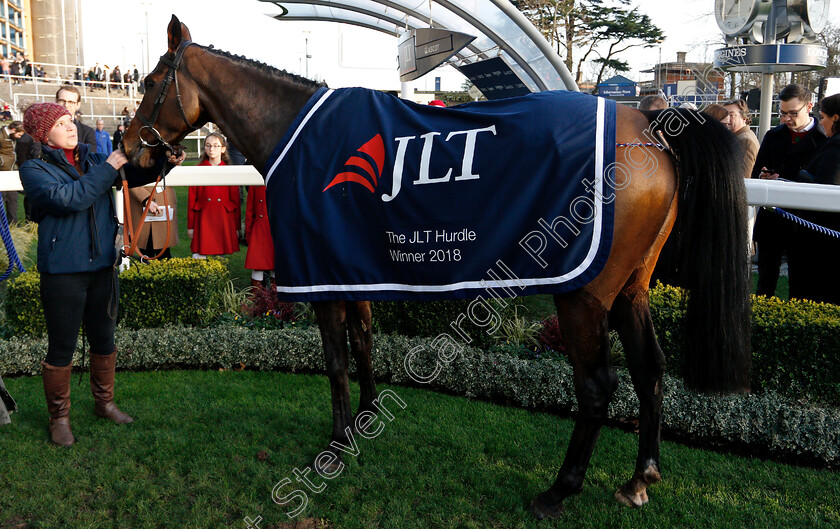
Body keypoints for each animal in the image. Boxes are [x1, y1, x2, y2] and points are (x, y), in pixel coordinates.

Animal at [121, 15, 752, 516]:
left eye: (149, 83)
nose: (127, 153)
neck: (299, 137)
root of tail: (651, 129)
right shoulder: (354, 266)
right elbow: (363, 343)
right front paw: (365, 423)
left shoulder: (321, 276)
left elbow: (336, 361)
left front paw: (335, 445)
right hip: (632, 287)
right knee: (650, 369)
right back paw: (640, 477)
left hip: (584, 293)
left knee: (598, 385)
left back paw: (559, 490)